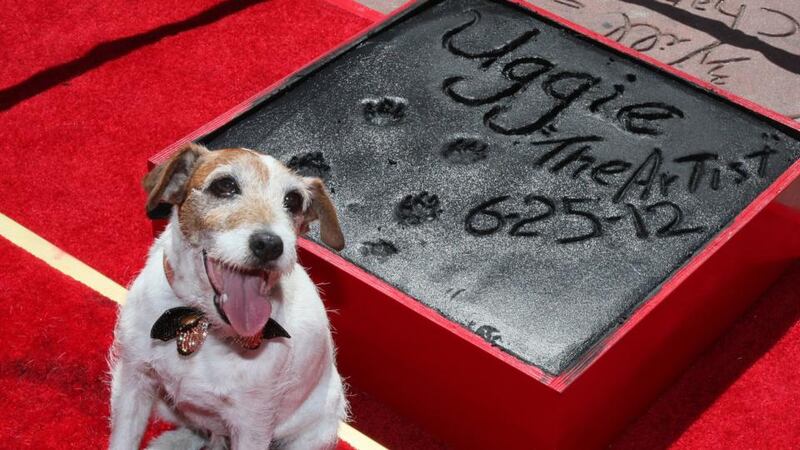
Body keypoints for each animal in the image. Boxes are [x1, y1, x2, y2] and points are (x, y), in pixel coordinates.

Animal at [108, 144, 346, 450]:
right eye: (225, 185)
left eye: (293, 200)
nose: (270, 244)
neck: (198, 324)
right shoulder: (132, 382)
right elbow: (123, 439)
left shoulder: (252, 426)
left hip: (315, 431)